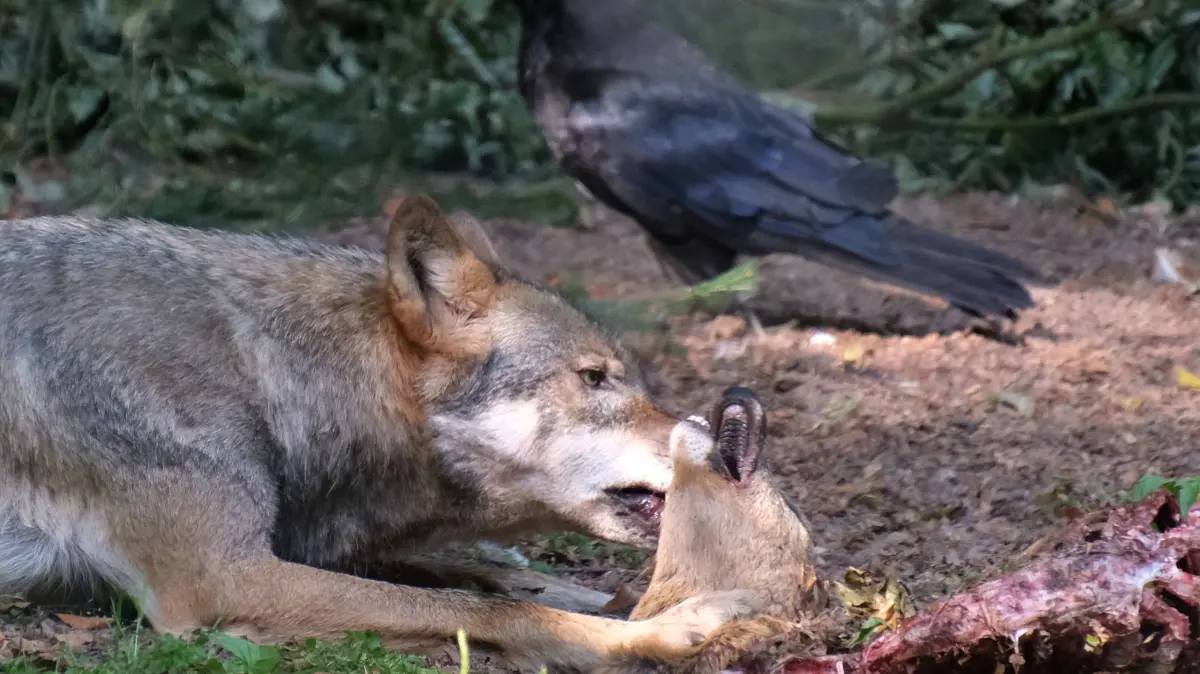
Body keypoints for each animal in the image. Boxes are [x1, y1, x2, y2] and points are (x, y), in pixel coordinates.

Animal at [0, 196, 753, 671]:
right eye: (594, 377)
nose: (726, 447)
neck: (264, 369)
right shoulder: (220, 578)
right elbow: (493, 607)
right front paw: (664, 631)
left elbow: (504, 576)